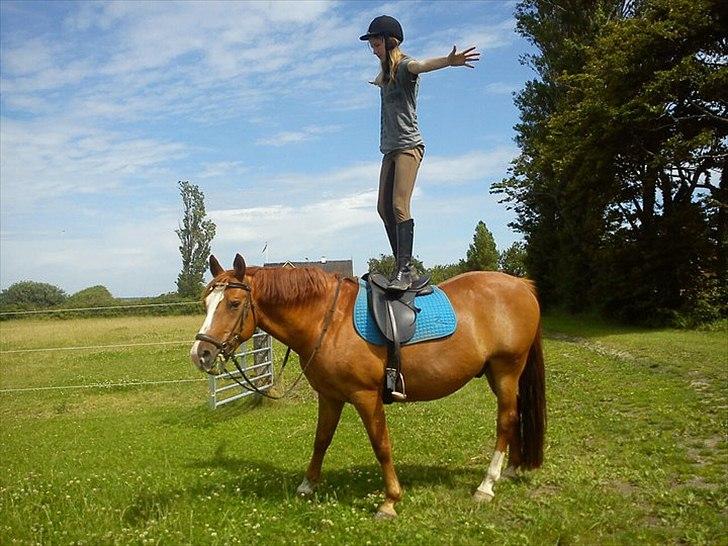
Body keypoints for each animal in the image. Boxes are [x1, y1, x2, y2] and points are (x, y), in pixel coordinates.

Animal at [191, 253, 544, 516]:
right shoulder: (329, 397)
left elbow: (381, 445)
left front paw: (390, 501)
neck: (328, 321)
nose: (201, 354)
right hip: (499, 374)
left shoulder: (366, 397)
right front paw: (308, 485)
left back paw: (487, 484)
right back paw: (511, 470)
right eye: (206, 304)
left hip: (506, 370)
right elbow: (321, 440)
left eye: (234, 303)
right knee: (514, 417)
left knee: (505, 421)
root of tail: (521, 284)